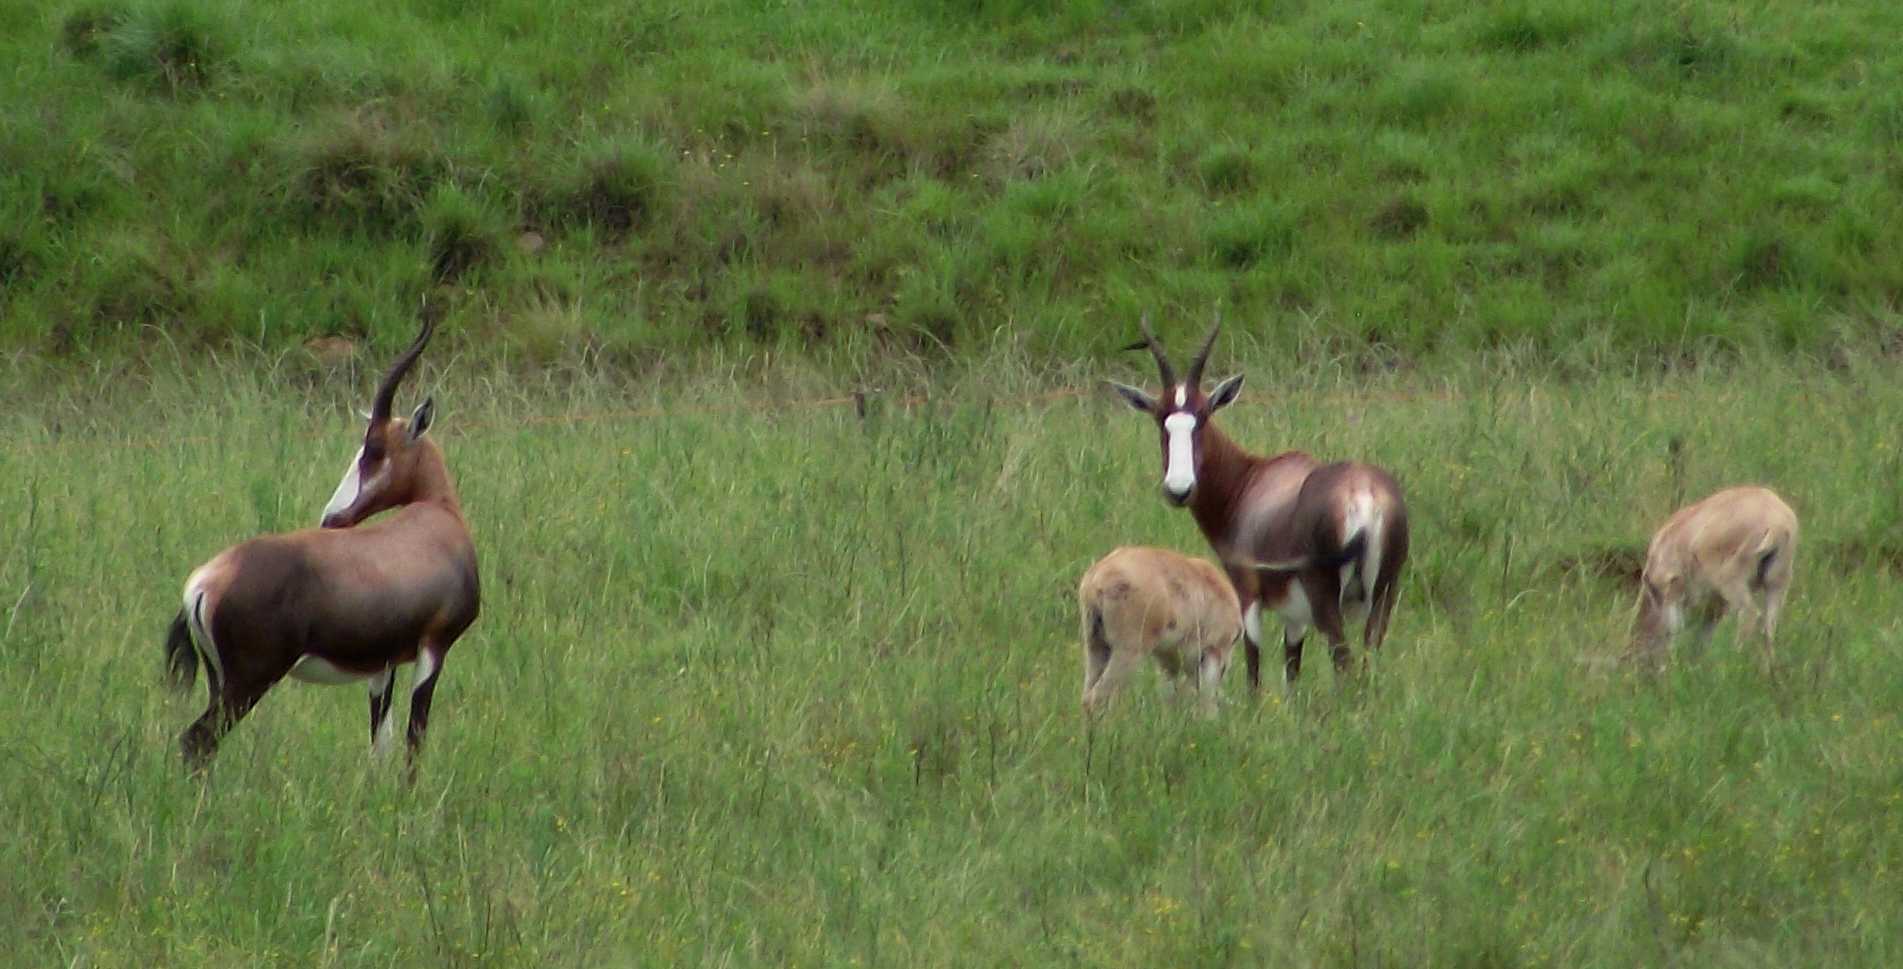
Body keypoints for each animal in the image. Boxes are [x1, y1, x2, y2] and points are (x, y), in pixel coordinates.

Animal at [1080, 548, 1240, 715]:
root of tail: (1100, 577)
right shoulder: (1212, 651)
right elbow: (1206, 690)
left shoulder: (1167, 656)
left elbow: (1169, 691)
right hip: (1129, 651)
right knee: (1096, 697)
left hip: (1095, 645)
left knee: (1087, 695)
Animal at [1621, 481, 1796, 666]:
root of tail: (1776, 523)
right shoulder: (1714, 605)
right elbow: (1704, 634)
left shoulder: (1673, 589)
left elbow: (1675, 628)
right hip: (1777, 582)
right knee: (1769, 625)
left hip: (1732, 580)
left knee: (1750, 614)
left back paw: (1736, 658)